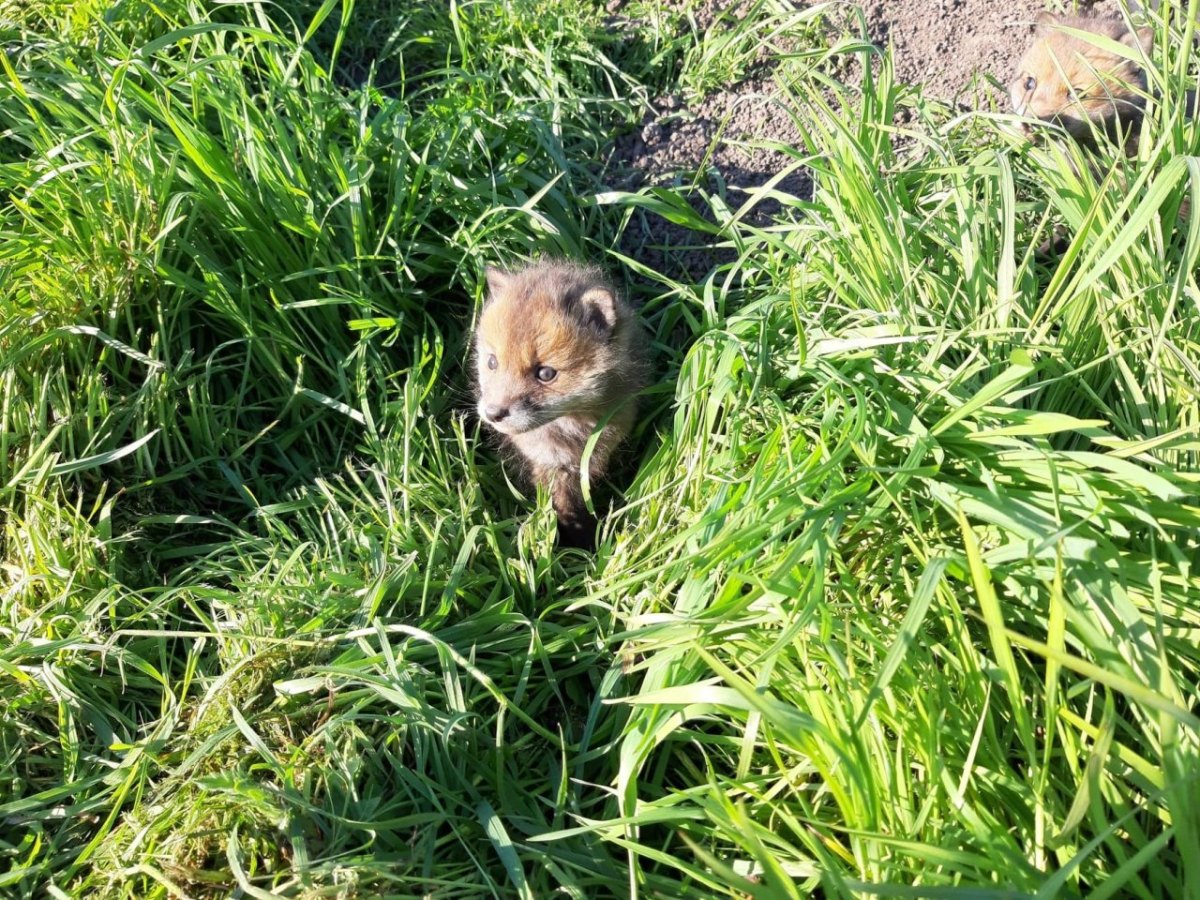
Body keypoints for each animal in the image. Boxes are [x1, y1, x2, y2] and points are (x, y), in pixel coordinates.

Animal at [472, 260, 652, 549]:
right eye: (492, 362)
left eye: (545, 373)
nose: (492, 413)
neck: (573, 430)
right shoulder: (551, 465)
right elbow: (565, 509)